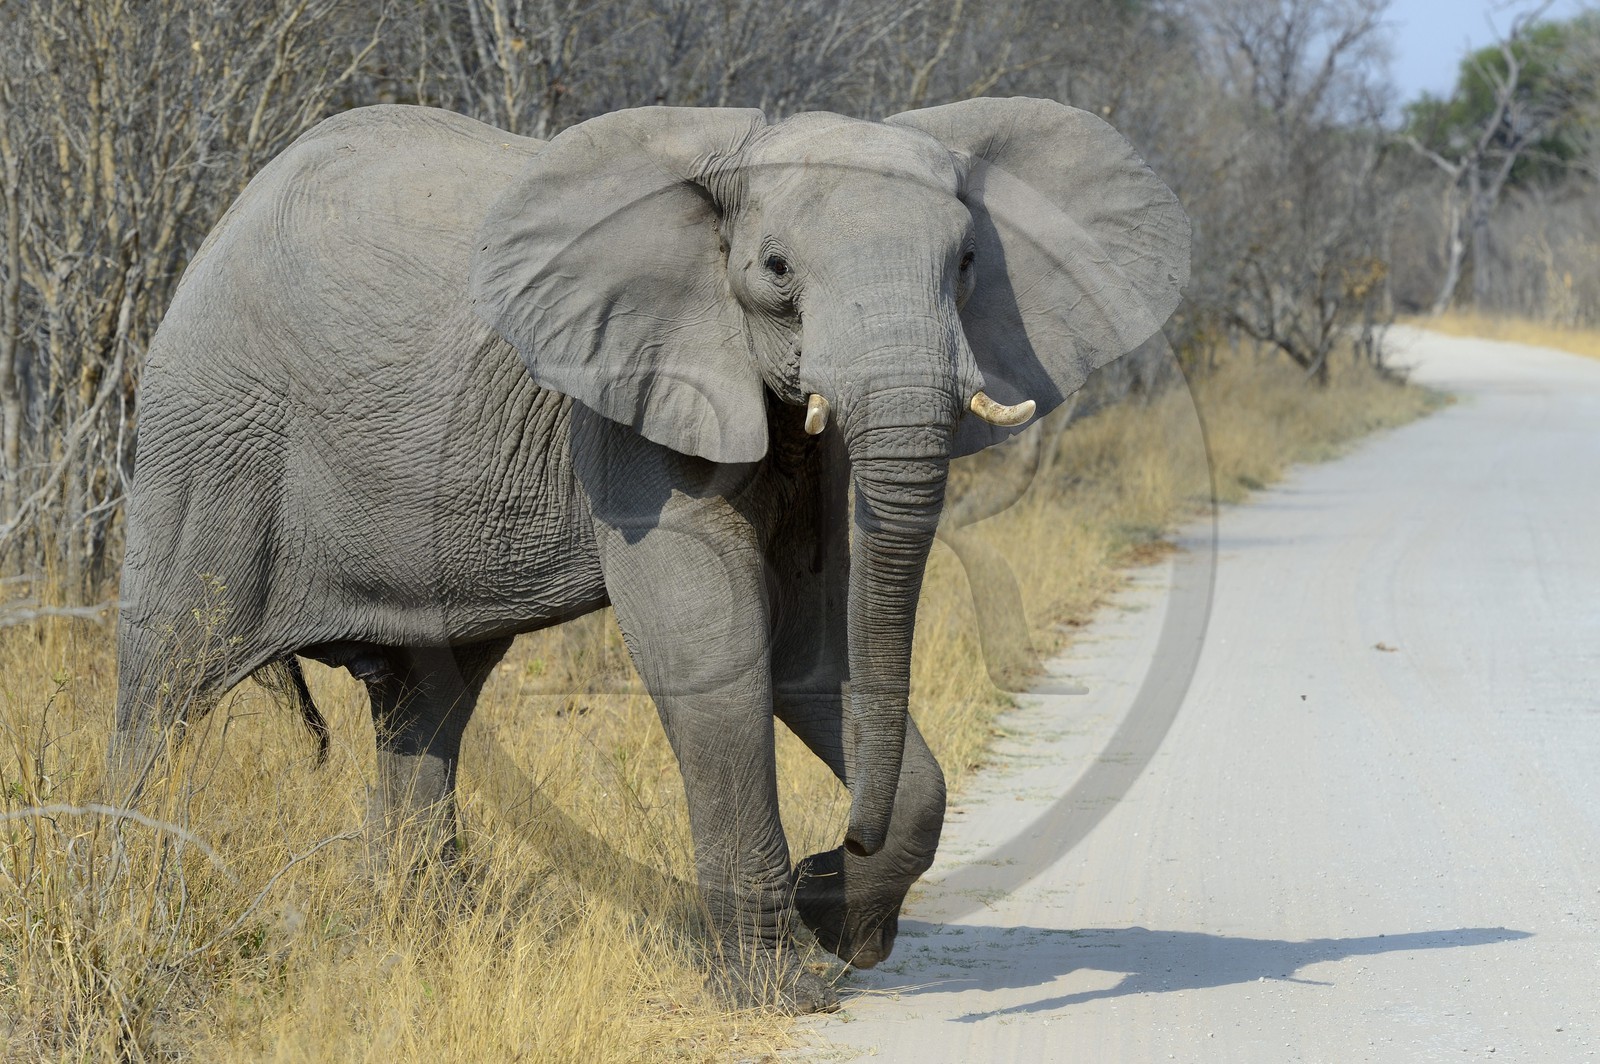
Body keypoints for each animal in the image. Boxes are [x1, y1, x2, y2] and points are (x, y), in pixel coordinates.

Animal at [111, 97, 1188, 1012]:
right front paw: (780, 987)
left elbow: (814, 640)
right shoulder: (635, 398)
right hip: (208, 438)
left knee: (428, 703)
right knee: (167, 681)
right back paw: (121, 901)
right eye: (777, 269)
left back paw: (418, 940)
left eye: (967, 261)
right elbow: (715, 639)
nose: (838, 848)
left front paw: (834, 916)